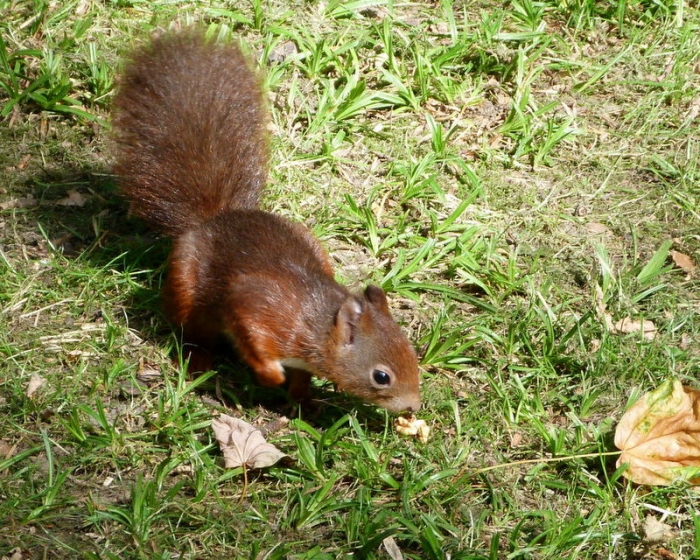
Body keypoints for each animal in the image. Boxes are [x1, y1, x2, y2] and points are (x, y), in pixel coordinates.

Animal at [111, 29, 421, 413]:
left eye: (413, 353)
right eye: (381, 376)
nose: (414, 407)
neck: (317, 324)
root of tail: (218, 217)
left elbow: (302, 379)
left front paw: (306, 402)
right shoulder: (262, 309)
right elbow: (252, 332)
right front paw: (271, 377)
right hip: (186, 284)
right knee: (192, 332)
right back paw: (199, 362)